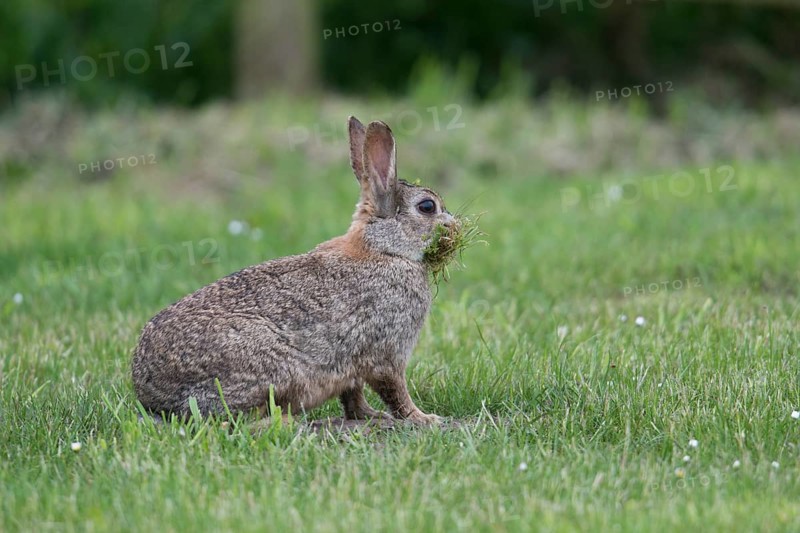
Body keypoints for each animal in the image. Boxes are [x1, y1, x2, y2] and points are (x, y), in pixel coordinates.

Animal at [132, 116, 458, 424]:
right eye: (427, 207)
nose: (455, 226)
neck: (385, 249)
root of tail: (152, 398)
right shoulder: (386, 350)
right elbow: (394, 390)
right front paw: (424, 418)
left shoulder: (350, 366)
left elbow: (353, 395)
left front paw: (370, 416)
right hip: (270, 368)